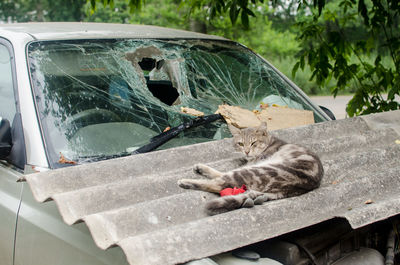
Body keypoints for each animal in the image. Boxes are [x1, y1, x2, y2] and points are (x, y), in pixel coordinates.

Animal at [177, 122, 324, 214]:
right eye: (241, 144)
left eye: (253, 143)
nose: (247, 151)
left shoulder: (253, 163)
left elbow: (219, 176)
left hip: (253, 170)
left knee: (218, 184)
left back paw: (186, 181)